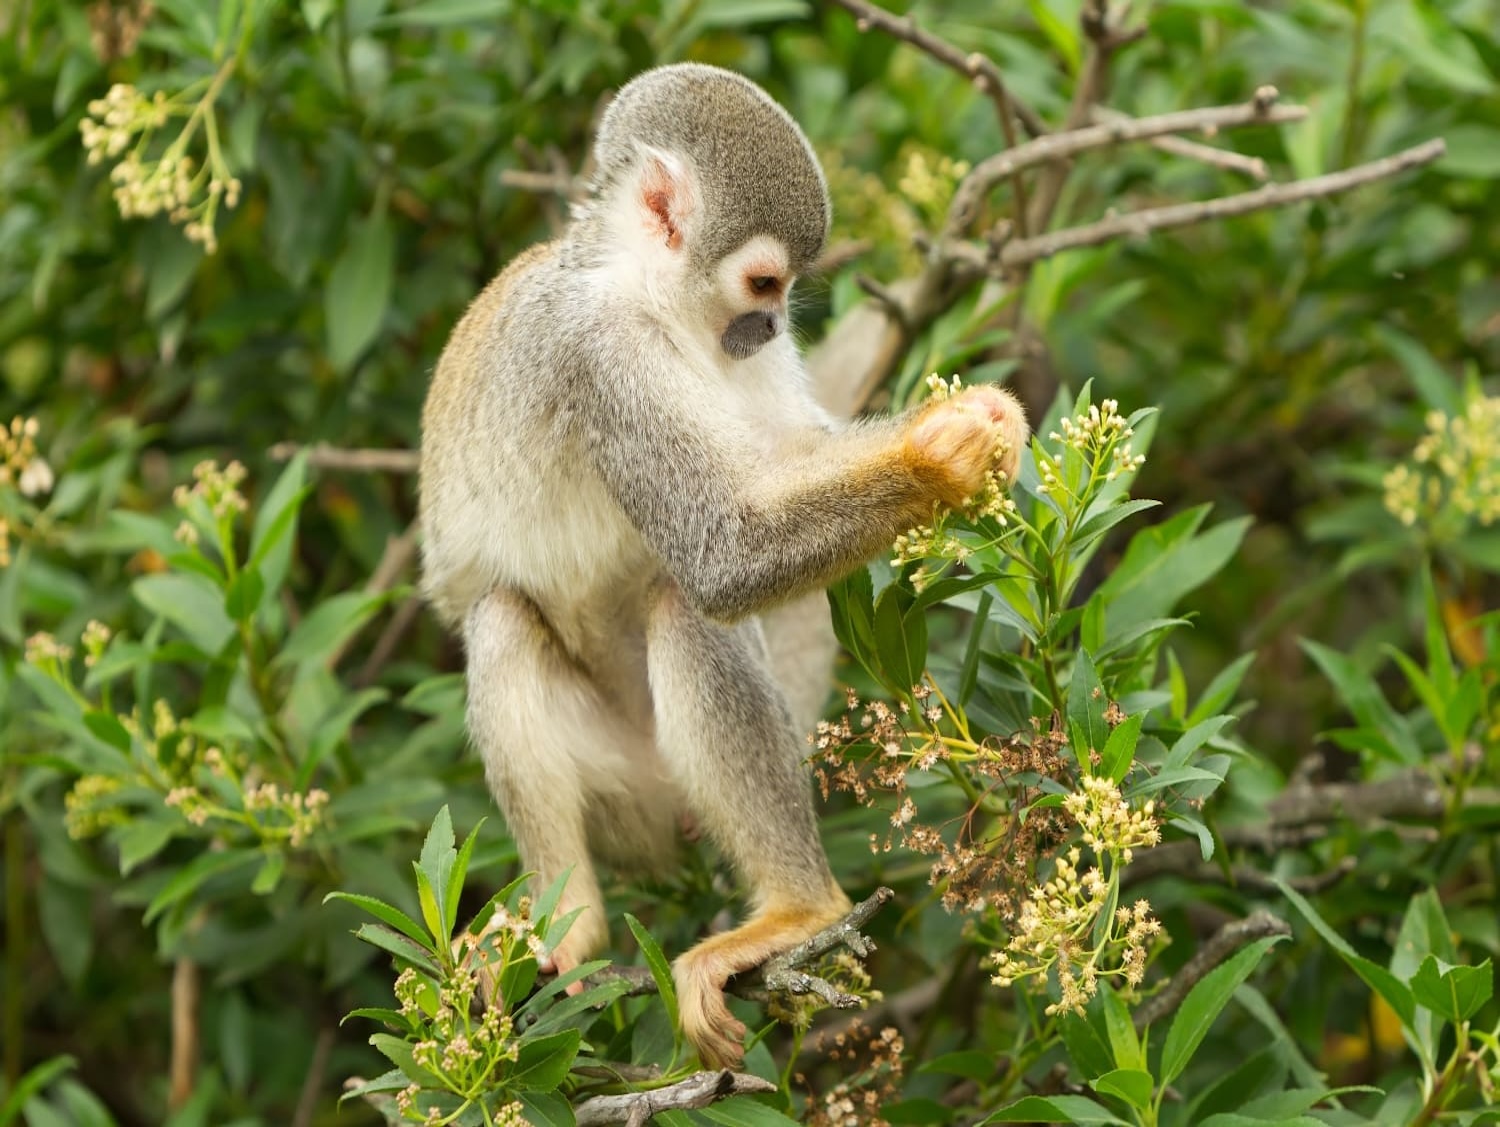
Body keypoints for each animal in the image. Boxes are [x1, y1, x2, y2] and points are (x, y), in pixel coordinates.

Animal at [418, 62, 1028, 1068]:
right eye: (765, 280)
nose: (772, 325)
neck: (647, 294)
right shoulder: (602, 354)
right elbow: (724, 552)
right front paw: (936, 461)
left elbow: (786, 463)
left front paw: (984, 423)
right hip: (627, 790)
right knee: (550, 612)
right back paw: (671, 915)